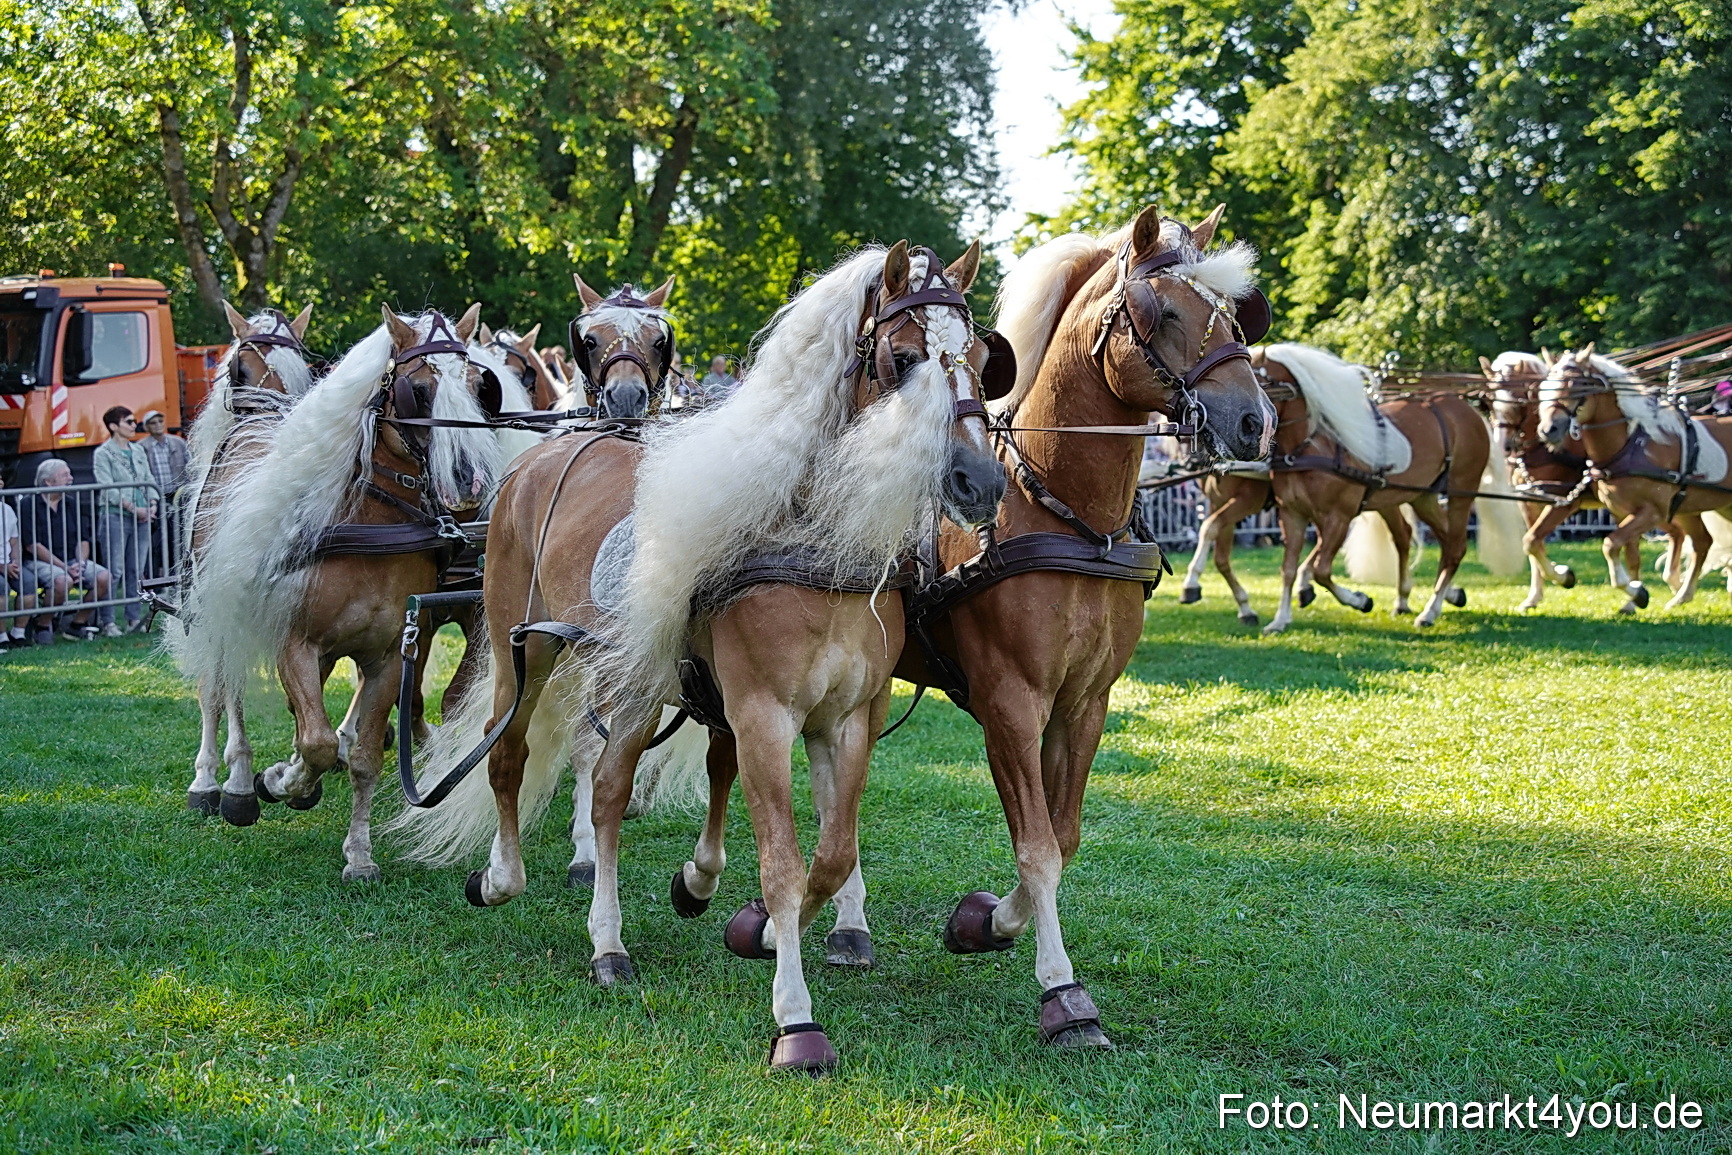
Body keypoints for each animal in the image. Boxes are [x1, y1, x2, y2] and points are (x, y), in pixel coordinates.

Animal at [188, 305, 508, 878]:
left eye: (479, 385)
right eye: (418, 390)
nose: (467, 483)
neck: (371, 527)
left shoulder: (393, 652)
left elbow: (363, 757)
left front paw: (358, 852)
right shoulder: (295, 645)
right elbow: (312, 740)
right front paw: (281, 781)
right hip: (220, 612)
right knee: (222, 689)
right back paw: (227, 783)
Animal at [389, 241, 1006, 1072]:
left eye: (981, 357)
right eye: (902, 358)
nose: (981, 480)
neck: (813, 545)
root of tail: (545, 454)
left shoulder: (850, 716)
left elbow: (832, 850)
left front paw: (761, 925)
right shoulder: (762, 714)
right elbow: (781, 862)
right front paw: (795, 1016)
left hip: (633, 677)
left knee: (608, 785)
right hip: (533, 650)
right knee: (520, 758)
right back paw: (523, 890)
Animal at [1537, 346, 1732, 611]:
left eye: (1579, 386)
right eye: (1545, 386)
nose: (1549, 430)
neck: (1632, 443)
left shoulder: (1653, 512)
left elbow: (1610, 544)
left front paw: (1633, 591)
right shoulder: (1622, 512)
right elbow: (1629, 554)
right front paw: (1635, 596)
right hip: (1694, 508)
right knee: (1702, 542)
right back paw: (1682, 596)